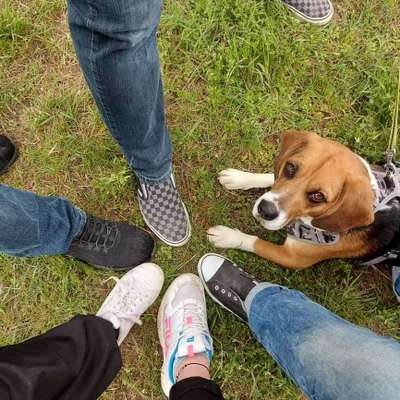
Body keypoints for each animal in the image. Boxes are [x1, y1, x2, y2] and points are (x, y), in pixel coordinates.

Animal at [208, 133, 400, 270]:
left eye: (318, 196)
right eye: (290, 168)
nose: (265, 210)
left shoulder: (293, 258)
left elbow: (255, 242)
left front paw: (227, 236)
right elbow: (270, 177)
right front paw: (240, 178)